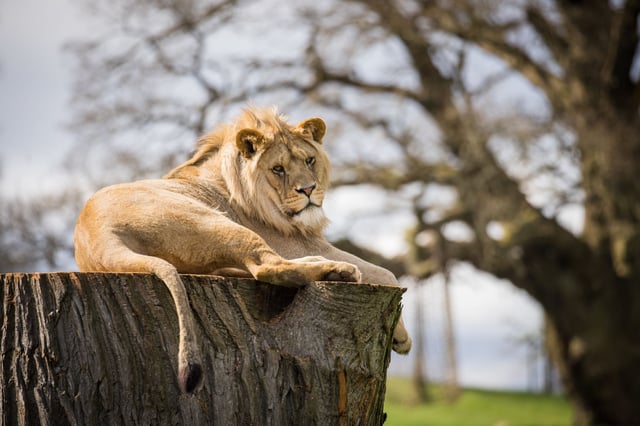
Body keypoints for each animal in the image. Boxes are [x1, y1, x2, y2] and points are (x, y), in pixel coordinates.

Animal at [74, 106, 412, 393]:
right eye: (278, 169)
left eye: (309, 161)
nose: (308, 190)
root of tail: (97, 239)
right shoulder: (298, 241)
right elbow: (386, 272)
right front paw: (403, 338)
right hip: (211, 219)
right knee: (269, 266)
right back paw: (336, 271)